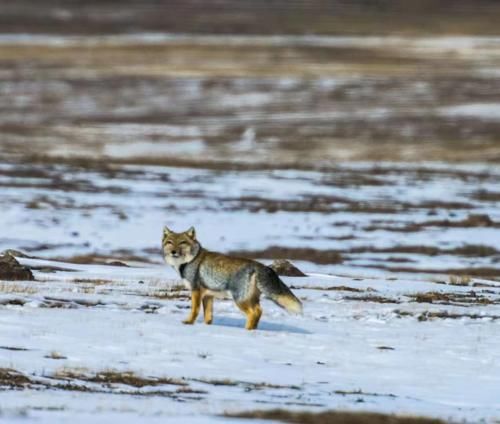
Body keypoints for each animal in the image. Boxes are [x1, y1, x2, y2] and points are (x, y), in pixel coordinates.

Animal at [162, 227, 302, 330]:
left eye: (182, 242)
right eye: (170, 242)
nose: (173, 252)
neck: (190, 260)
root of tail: (260, 266)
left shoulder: (196, 291)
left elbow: (194, 310)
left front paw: (189, 322)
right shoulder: (208, 295)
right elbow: (208, 316)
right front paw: (207, 327)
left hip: (240, 300)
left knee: (254, 313)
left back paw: (247, 331)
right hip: (250, 299)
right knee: (259, 312)